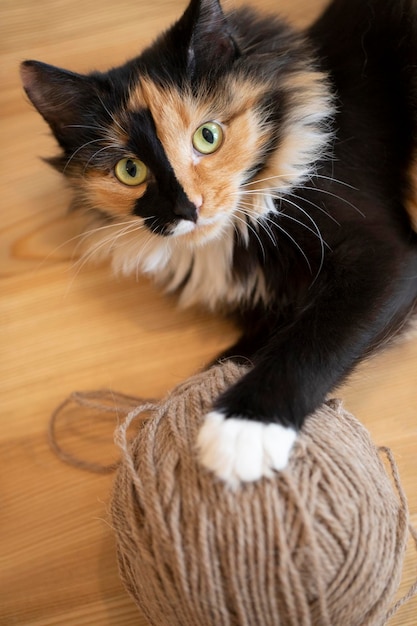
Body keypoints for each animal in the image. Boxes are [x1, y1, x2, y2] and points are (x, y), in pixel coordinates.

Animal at [20, 0, 416, 488]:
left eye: (207, 136)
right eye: (130, 170)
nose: (187, 208)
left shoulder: (385, 255)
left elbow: (316, 335)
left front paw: (242, 429)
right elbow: (239, 353)